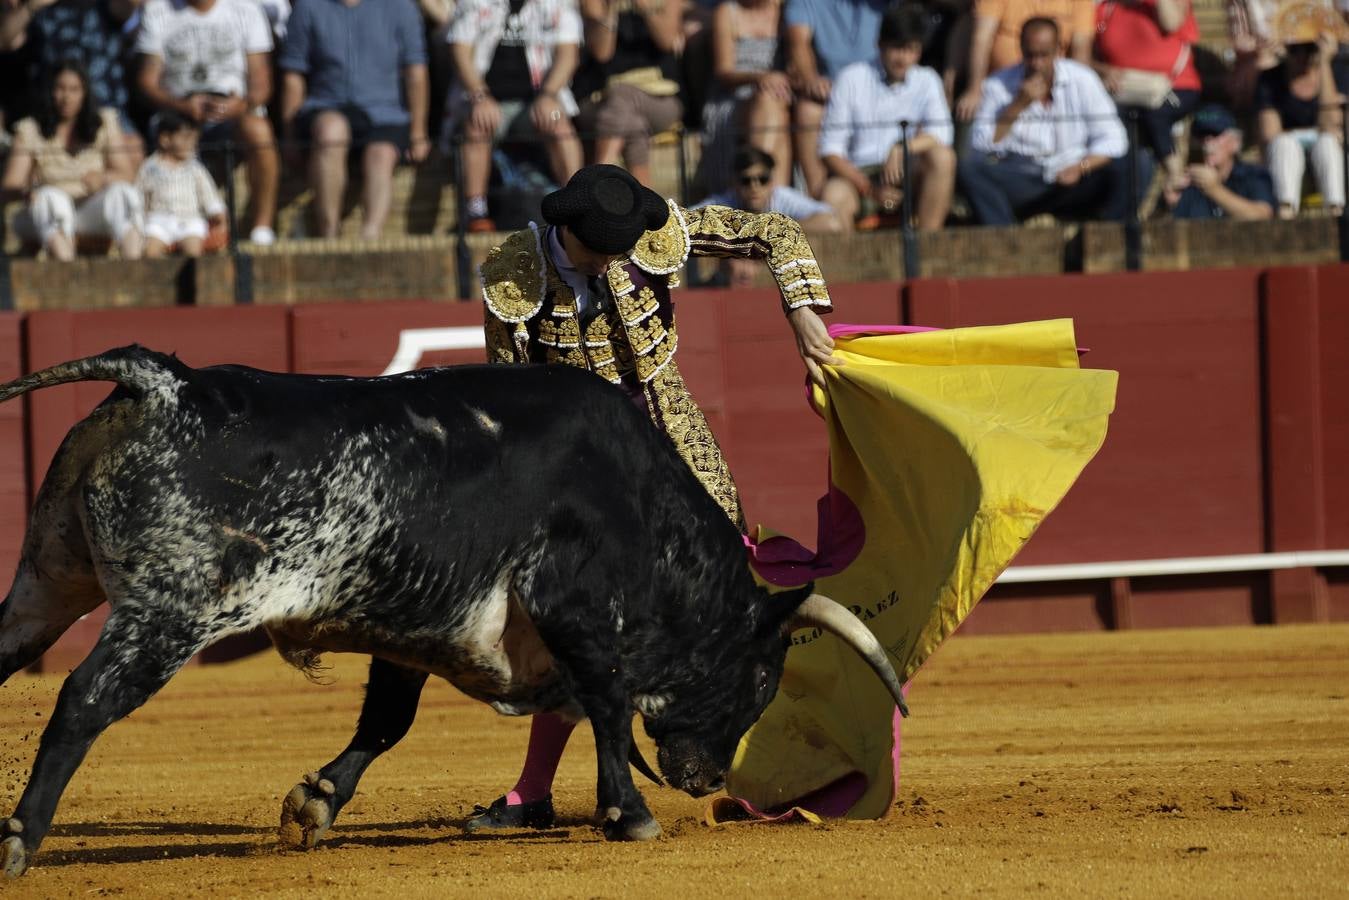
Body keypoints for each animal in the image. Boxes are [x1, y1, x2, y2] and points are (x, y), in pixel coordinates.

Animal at [0, 348, 906, 879]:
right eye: (760, 677)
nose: (707, 780)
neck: (635, 504)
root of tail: (166, 381)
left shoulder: (407, 630)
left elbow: (387, 723)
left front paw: (315, 804)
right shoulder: (573, 609)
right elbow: (608, 705)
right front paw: (630, 814)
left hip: (49, 581)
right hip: (171, 610)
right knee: (84, 701)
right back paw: (20, 843)